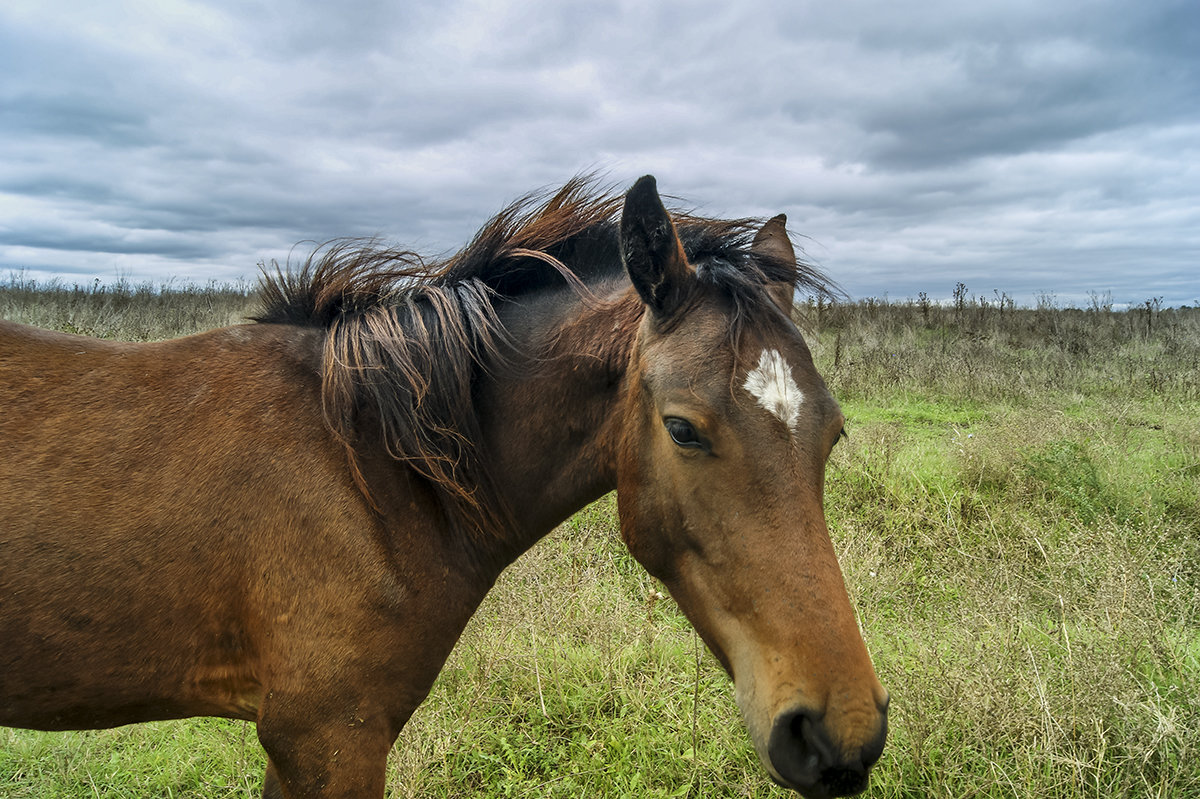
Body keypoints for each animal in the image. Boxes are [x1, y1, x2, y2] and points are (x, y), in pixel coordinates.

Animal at [2, 177, 892, 791]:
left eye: (833, 432)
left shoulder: (304, 746)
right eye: (683, 428)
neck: (372, 474)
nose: (839, 736)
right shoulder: (325, 738)